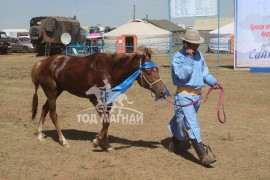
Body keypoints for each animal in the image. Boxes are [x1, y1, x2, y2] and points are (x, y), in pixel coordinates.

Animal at [31, 46, 167, 150]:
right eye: (148, 72)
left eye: (157, 69)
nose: (162, 92)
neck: (109, 70)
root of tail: (41, 63)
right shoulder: (95, 98)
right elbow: (106, 121)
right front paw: (97, 141)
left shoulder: (108, 99)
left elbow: (106, 120)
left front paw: (105, 143)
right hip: (51, 93)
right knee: (53, 114)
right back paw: (63, 140)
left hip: (56, 92)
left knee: (44, 109)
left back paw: (39, 134)